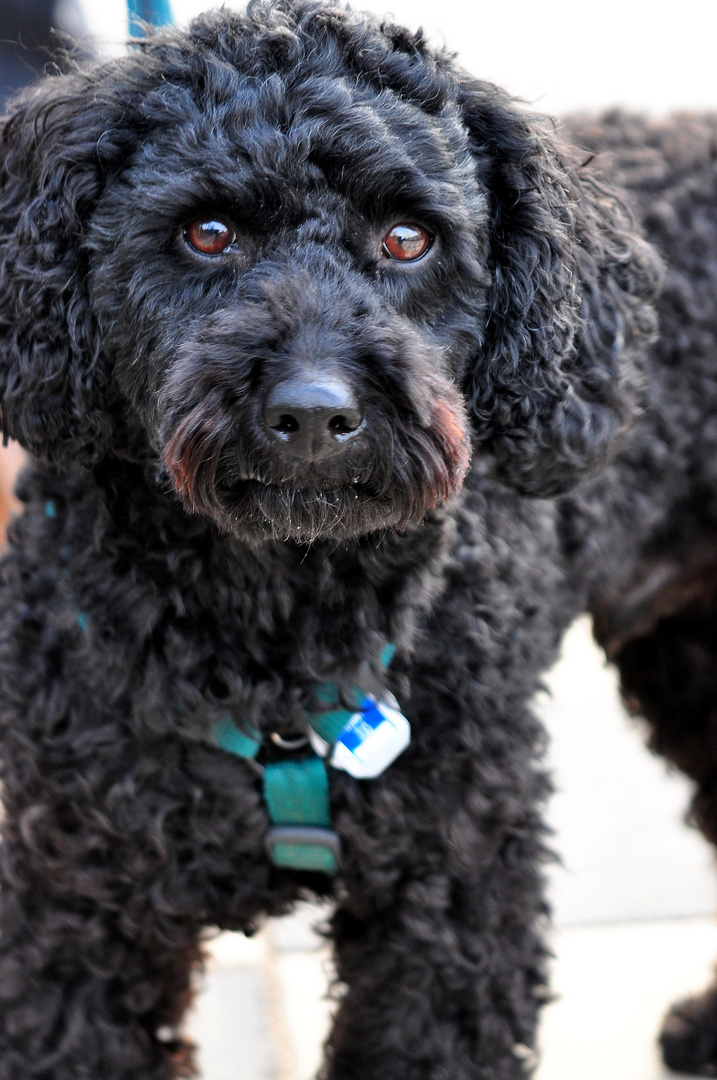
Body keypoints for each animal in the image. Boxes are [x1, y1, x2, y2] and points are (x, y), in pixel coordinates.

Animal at [1, 2, 717, 1080]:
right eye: (208, 234)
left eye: (408, 238)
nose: (312, 413)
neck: (273, 623)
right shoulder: (75, 894)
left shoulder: (455, 894)